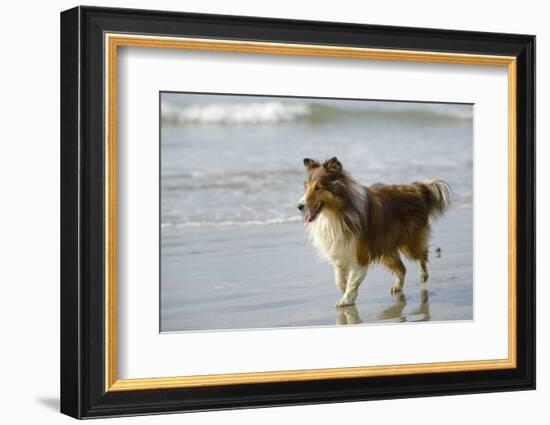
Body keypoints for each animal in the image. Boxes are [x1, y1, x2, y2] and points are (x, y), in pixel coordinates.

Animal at [298, 156, 452, 304]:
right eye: (306, 186)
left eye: (318, 187)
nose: (299, 206)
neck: (336, 213)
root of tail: (417, 188)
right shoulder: (339, 251)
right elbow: (339, 279)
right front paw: (345, 291)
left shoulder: (360, 254)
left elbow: (353, 280)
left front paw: (346, 300)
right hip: (386, 248)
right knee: (402, 269)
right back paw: (397, 286)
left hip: (409, 244)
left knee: (422, 256)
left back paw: (423, 275)